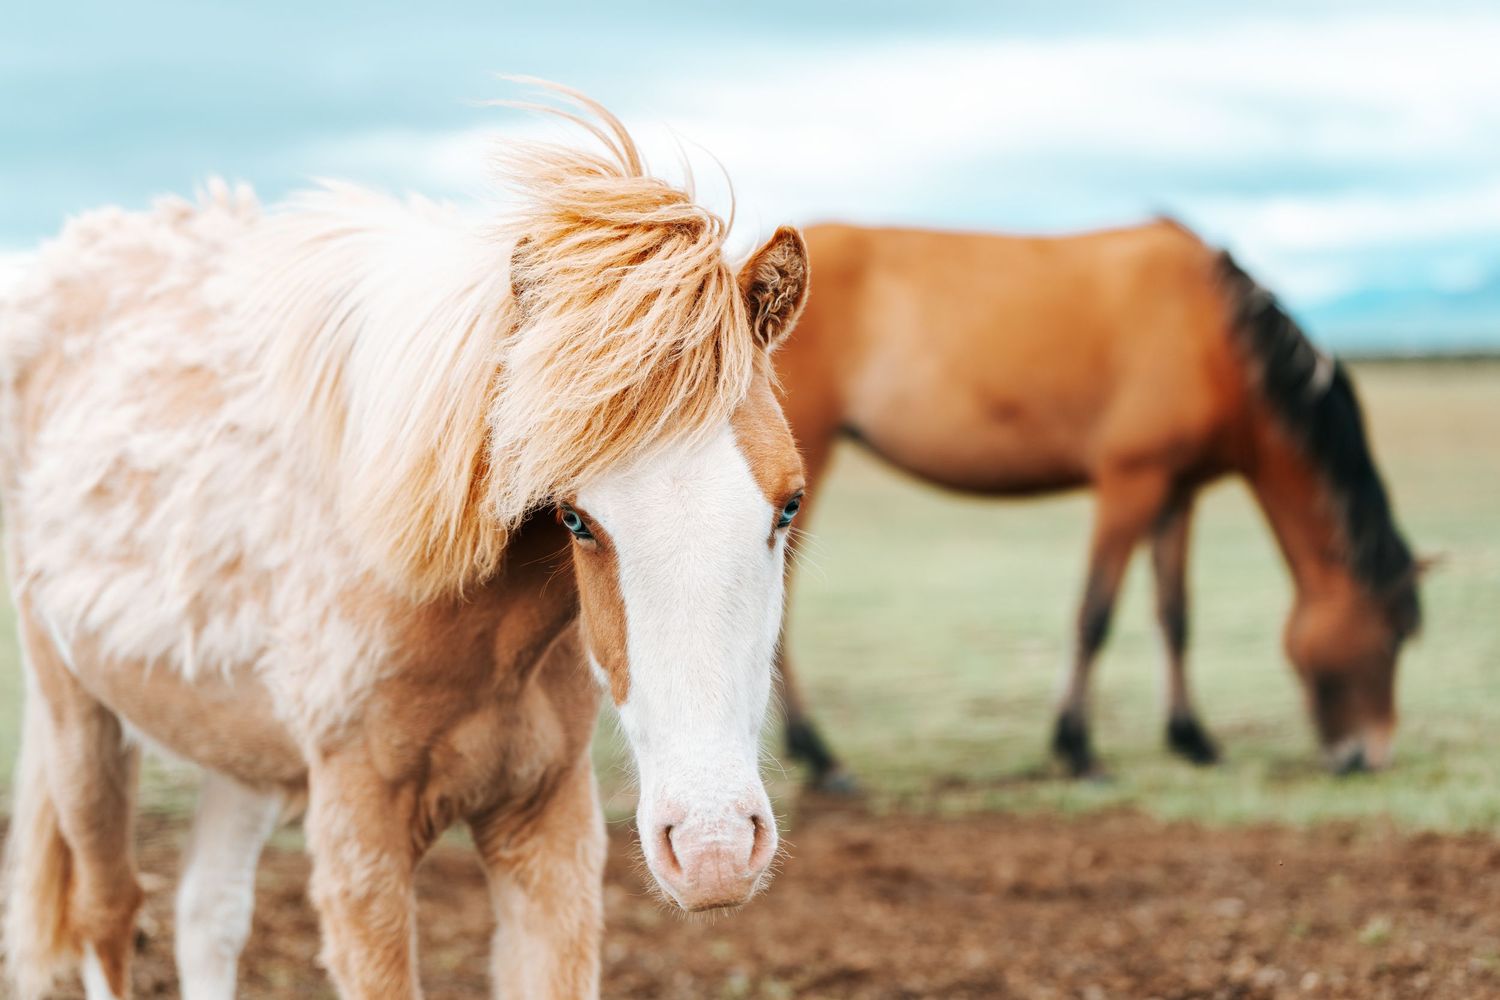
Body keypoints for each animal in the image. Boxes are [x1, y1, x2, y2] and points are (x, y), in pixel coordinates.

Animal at [0, 86, 811, 1000]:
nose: (713, 849)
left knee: (207, 915)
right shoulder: (361, 847)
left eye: (788, 506)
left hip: (235, 750)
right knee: (107, 913)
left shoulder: (547, 825)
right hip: (78, 719)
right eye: (575, 518)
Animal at [772, 220, 1421, 787]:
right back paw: (821, 759)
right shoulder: (1130, 483)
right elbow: (1095, 613)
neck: (1211, 336)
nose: (1371, 755)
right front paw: (1078, 749)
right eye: (1393, 636)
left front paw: (1192, 739)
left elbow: (1174, 616)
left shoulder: (1176, 494)